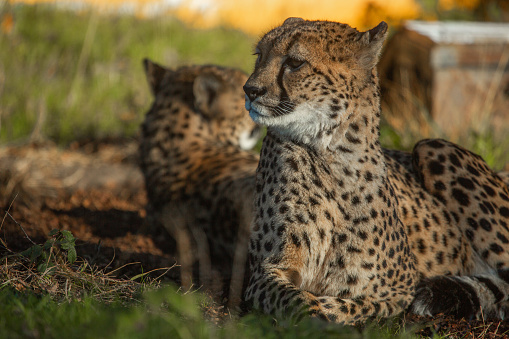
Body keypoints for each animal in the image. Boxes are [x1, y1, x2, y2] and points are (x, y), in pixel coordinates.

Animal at [241, 17, 508, 326]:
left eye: (295, 63)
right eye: (259, 55)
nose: (250, 90)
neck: (330, 152)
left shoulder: (400, 287)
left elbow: (342, 306)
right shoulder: (265, 272)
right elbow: (300, 301)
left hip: (432, 146)